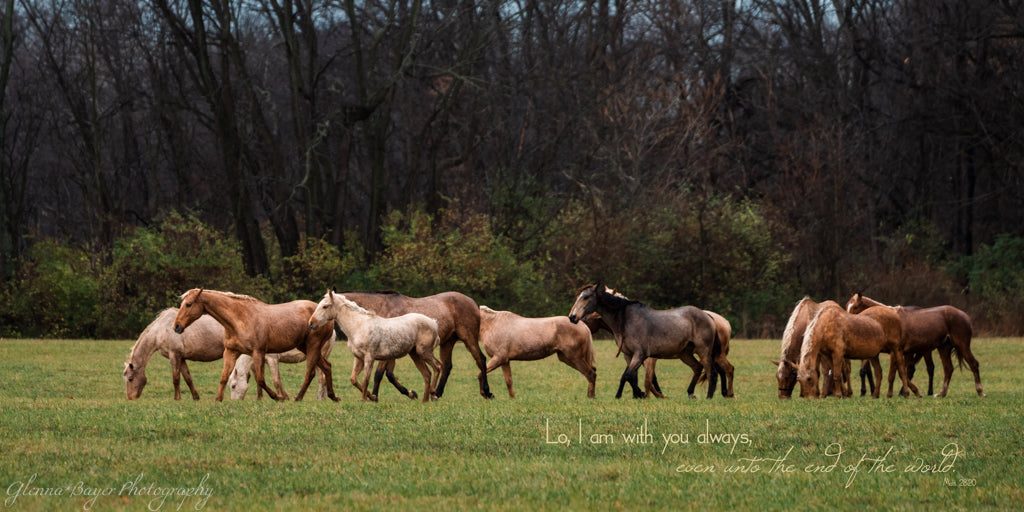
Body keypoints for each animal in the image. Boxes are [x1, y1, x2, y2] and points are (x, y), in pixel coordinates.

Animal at [173, 288, 339, 402]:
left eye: (188, 304)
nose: (176, 326)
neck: (240, 319)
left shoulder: (259, 353)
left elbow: (261, 380)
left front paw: (278, 398)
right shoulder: (231, 352)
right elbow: (224, 377)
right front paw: (218, 400)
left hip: (313, 347)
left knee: (311, 373)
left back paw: (298, 398)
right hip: (306, 347)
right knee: (327, 367)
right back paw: (333, 397)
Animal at [308, 290, 441, 402]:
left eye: (325, 306)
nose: (311, 323)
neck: (359, 326)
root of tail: (433, 323)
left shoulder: (369, 357)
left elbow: (365, 379)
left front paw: (364, 400)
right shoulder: (359, 358)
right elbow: (354, 379)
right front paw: (372, 397)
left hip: (424, 352)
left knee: (437, 367)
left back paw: (433, 393)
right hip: (415, 354)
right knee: (427, 374)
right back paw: (424, 400)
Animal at [328, 290, 493, 400]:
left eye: (325, 307)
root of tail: (473, 302)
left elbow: (379, 374)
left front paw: (374, 396)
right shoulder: (390, 352)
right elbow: (389, 375)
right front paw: (410, 393)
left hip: (469, 338)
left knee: (481, 360)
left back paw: (486, 392)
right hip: (448, 342)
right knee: (446, 366)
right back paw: (436, 394)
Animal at [567, 283, 724, 399]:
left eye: (586, 297)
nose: (572, 317)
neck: (625, 320)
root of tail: (707, 316)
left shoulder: (640, 355)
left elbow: (628, 376)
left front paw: (635, 394)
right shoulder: (629, 355)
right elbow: (631, 377)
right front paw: (634, 395)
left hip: (703, 351)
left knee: (712, 372)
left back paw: (709, 397)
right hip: (685, 354)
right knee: (698, 367)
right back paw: (691, 393)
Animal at [845, 293, 984, 397]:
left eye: (856, 306)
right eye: (847, 305)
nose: (847, 321)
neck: (888, 319)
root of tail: (964, 315)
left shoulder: (895, 352)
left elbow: (894, 374)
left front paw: (892, 394)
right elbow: (900, 373)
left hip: (961, 345)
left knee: (973, 364)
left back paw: (980, 391)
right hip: (944, 348)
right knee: (948, 368)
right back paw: (941, 393)